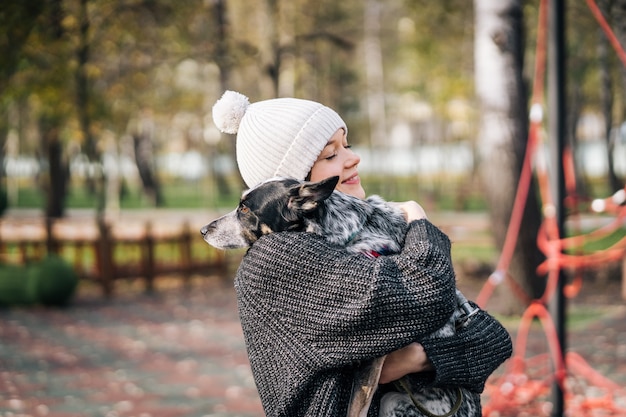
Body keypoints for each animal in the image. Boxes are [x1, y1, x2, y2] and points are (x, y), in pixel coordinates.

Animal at [200, 176, 478, 416]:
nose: (202, 230)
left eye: (245, 209)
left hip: (392, 401)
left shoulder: (371, 364)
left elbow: (356, 408)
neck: (351, 229)